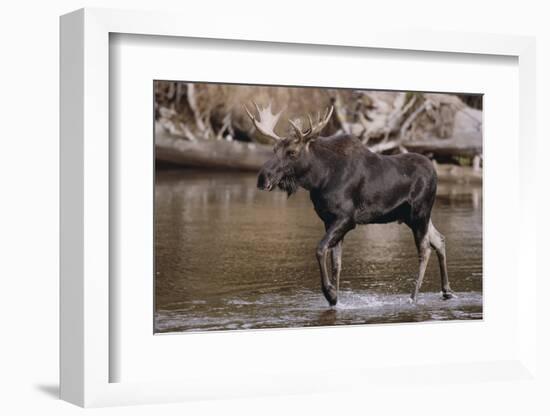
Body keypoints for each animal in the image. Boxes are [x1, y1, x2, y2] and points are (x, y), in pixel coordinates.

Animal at [247, 103, 458, 308]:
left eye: (292, 152)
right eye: (274, 150)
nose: (262, 178)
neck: (319, 178)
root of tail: (435, 172)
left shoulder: (346, 219)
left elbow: (320, 249)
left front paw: (330, 293)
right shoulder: (328, 219)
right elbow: (336, 263)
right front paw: (335, 298)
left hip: (419, 213)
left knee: (425, 249)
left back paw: (413, 297)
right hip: (412, 216)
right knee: (439, 239)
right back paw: (447, 290)